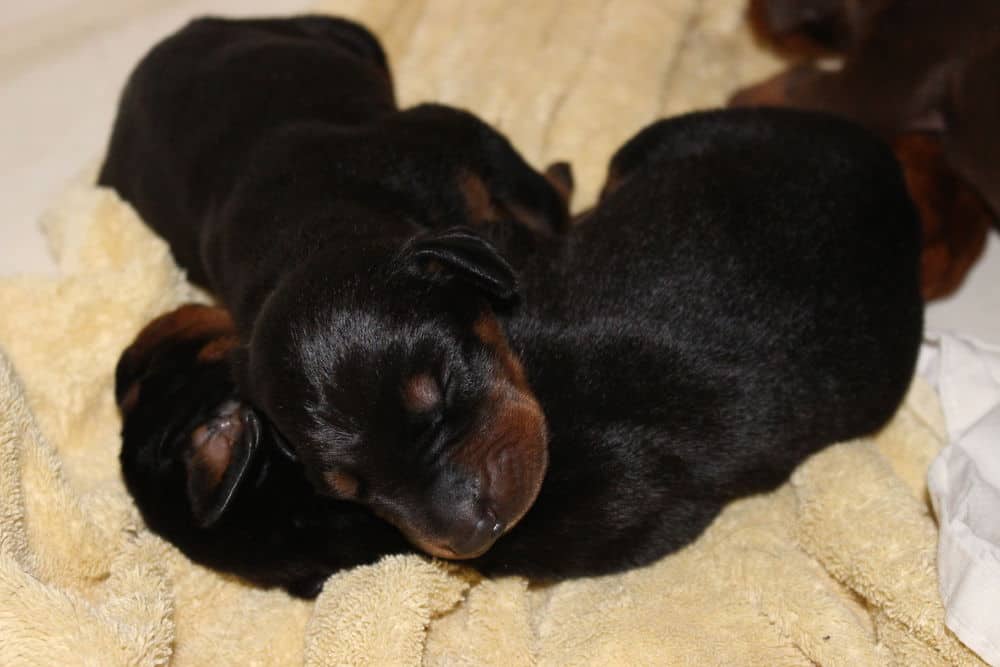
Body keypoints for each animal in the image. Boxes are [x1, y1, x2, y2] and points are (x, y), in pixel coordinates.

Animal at [102, 15, 576, 560]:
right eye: (349, 489)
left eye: (443, 390)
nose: (473, 533)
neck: (308, 231)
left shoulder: (454, 142)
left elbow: (534, 200)